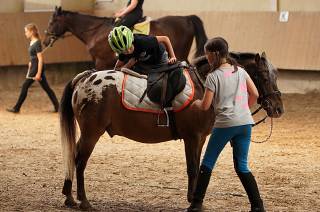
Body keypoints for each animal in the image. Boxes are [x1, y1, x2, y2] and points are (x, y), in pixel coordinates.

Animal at [42, 6, 208, 70]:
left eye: (51, 22)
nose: (45, 41)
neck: (95, 31)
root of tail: (186, 18)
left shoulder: (101, 62)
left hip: (180, 53)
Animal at [58, 51, 284, 209]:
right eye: (264, 77)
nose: (278, 108)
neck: (203, 85)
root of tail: (85, 78)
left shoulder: (200, 139)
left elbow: (198, 167)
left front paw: (195, 198)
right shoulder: (192, 137)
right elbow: (192, 168)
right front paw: (193, 200)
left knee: (72, 157)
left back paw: (69, 197)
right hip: (91, 133)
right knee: (80, 162)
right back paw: (83, 201)